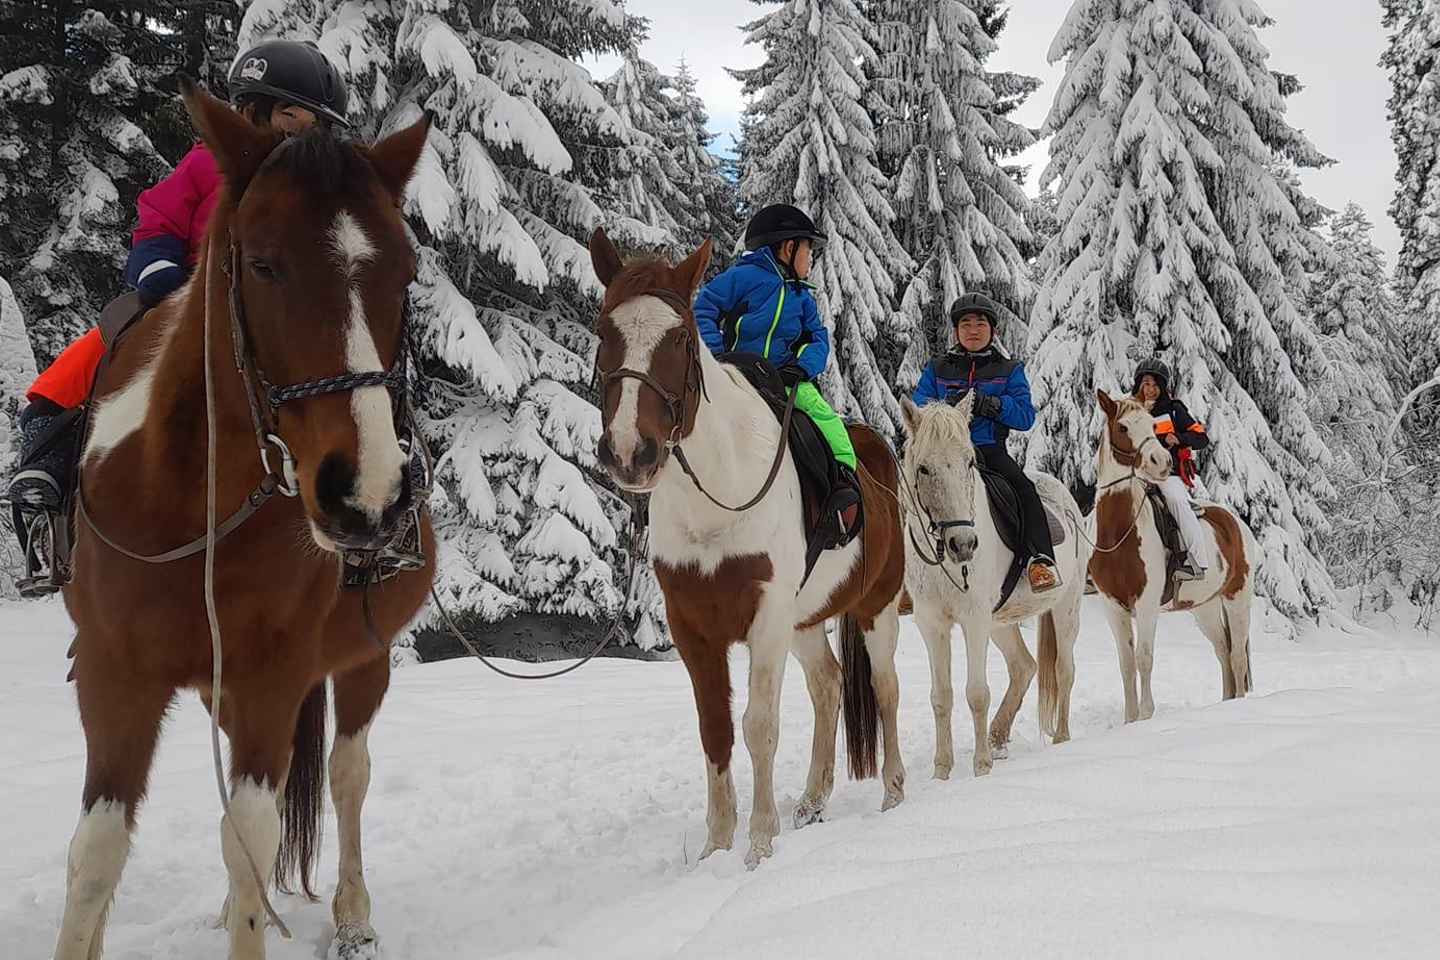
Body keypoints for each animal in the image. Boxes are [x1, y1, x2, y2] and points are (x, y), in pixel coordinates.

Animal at [52, 80, 435, 960]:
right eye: (262, 264)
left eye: (404, 277)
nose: (367, 496)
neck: (187, 502)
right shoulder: (115, 675)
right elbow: (95, 855)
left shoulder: (271, 679)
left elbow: (252, 839)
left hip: (363, 659)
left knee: (346, 777)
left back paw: (352, 918)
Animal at [586, 229, 907, 868]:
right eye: (604, 331)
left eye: (681, 338)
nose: (631, 452)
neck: (720, 492)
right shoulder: (693, 625)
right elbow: (715, 730)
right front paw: (716, 846)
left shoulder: (766, 617)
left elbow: (759, 725)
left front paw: (759, 843)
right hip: (806, 619)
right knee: (828, 685)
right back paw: (812, 801)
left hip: (874, 607)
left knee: (885, 688)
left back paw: (892, 791)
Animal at [898, 394, 1091, 778]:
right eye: (923, 468)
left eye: (969, 461)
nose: (963, 544)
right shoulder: (932, 624)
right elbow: (941, 696)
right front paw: (942, 771)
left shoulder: (974, 620)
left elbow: (976, 693)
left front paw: (981, 767)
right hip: (1000, 622)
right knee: (1024, 666)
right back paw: (998, 736)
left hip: (1066, 607)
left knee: (1064, 670)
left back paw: (1060, 739)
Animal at [1089, 390, 1255, 722]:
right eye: (1123, 427)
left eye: (1153, 426)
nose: (1162, 461)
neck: (1119, 531)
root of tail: (1235, 521)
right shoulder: (1113, 607)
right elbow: (1126, 664)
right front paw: (1129, 720)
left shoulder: (1147, 604)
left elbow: (1143, 658)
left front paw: (1145, 716)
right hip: (1204, 608)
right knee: (1223, 651)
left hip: (1237, 600)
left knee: (1237, 655)